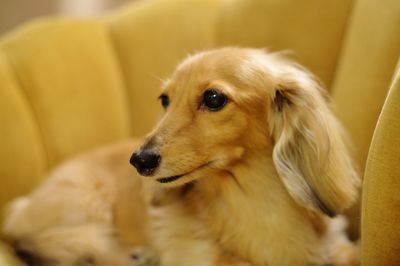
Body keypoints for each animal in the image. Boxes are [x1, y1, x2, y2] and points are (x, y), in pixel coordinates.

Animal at [1, 46, 360, 264]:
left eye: (213, 98)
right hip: (86, 201)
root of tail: (20, 206)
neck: (253, 203)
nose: (139, 161)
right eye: (165, 99)